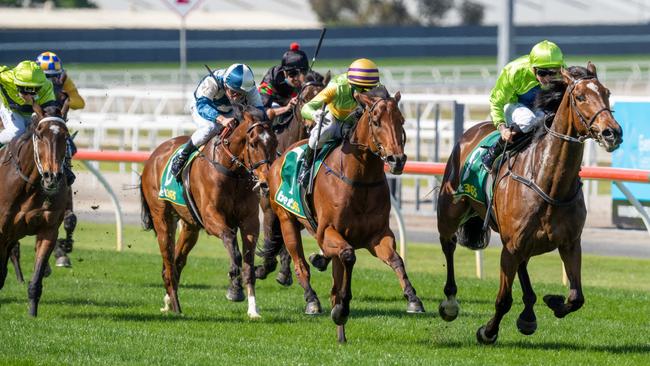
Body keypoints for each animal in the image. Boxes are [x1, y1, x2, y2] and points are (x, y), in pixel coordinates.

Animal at [0, 102, 71, 314]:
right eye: (39, 134)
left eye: (66, 135)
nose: (52, 176)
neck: (29, 185)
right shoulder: (1, 231)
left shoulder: (48, 230)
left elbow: (37, 278)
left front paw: (32, 312)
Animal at [139, 104, 276, 318]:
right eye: (253, 144)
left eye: (275, 142)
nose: (265, 183)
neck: (232, 172)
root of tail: (153, 156)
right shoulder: (212, 217)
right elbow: (232, 244)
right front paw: (234, 287)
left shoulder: (250, 222)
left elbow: (248, 264)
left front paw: (253, 309)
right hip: (162, 219)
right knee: (169, 264)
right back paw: (176, 307)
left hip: (190, 226)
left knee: (177, 262)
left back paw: (169, 301)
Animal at [256, 70, 332, 286]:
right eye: (305, 99)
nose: (316, 125)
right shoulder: (269, 203)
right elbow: (272, 233)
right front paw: (265, 267)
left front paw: (284, 271)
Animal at [264, 86, 422, 344]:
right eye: (376, 121)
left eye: (401, 120)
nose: (396, 159)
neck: (360, 179)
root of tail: (281, 156)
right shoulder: (329, 231)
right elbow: (348, 257)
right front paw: (341, 308)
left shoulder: (377, 235)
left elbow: (396, 259)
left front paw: (413, 298)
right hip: (287, 220)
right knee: (300, 264)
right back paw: (312, 300)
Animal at [438, 63, 620, 344]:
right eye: (580, 97)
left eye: (607, 93)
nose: (612, 132)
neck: (548, 183)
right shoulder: (510, 247)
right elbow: (503, 300)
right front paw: (487, 331)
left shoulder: (570, 243)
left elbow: (576, 297)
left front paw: (552, 301)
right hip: (450, 210)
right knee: (448, 244)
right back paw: (450, 302)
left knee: (523, 265)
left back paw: (529, 314)